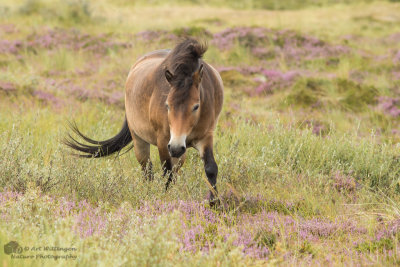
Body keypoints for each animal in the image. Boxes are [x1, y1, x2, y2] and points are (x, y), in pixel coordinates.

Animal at [64, 37, 223, 204]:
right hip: (140, 140)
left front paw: (215, 203)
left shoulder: (205, 137)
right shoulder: (163, 141)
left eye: (196, 106)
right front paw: (166, 198)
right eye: (167, 105)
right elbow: (166, 172)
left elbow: (210, 168)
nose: (176, 147)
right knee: (147, 169)